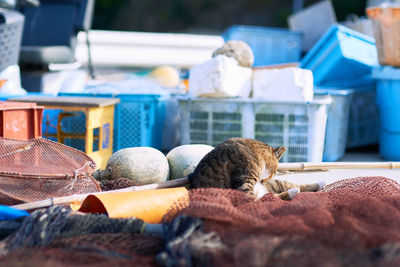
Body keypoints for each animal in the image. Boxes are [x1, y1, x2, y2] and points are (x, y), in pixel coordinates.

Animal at [188, 139, 324, 200]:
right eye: (274, 172)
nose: (264, 180)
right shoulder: (244, 184)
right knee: (273, 196)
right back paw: (292, 192)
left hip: (274, 184)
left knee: (295, 186)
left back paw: (319, 184)